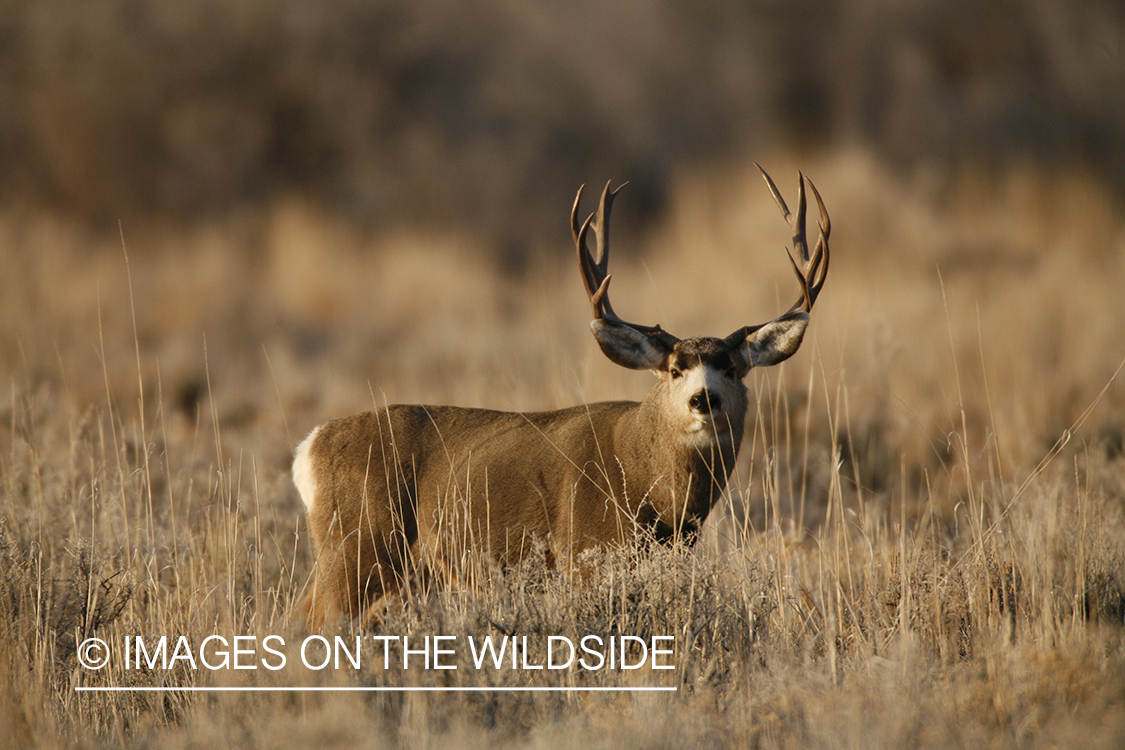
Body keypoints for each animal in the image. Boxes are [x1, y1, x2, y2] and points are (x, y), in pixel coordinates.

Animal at [292, 167, 829, 630]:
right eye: (675, 369)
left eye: (732, 369)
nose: (704, 399)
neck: (649, 483)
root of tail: (309, 448)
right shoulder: (583, 549)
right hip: (358, 543)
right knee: (314, 618)